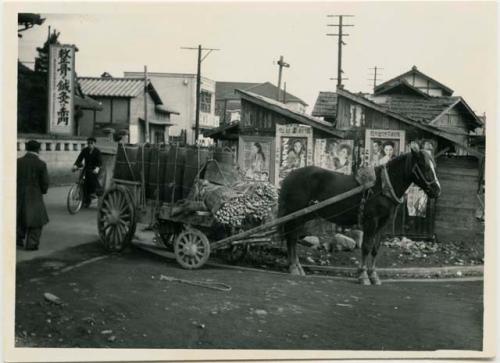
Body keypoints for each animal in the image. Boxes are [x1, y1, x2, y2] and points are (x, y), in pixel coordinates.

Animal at [278, 146, 442, 286]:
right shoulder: (371, 221)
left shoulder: (383, 223)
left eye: (434, 166)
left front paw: (373, 275)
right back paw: (294, 267)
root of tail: (290, 175)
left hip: (302, 216)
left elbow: (375, 248)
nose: (437, 190)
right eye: (424, 166)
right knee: (292, 238)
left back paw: (297, 266)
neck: (382, 187)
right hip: (295, 214)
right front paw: (363, 275)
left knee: (292, 238)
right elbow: (366, 247)